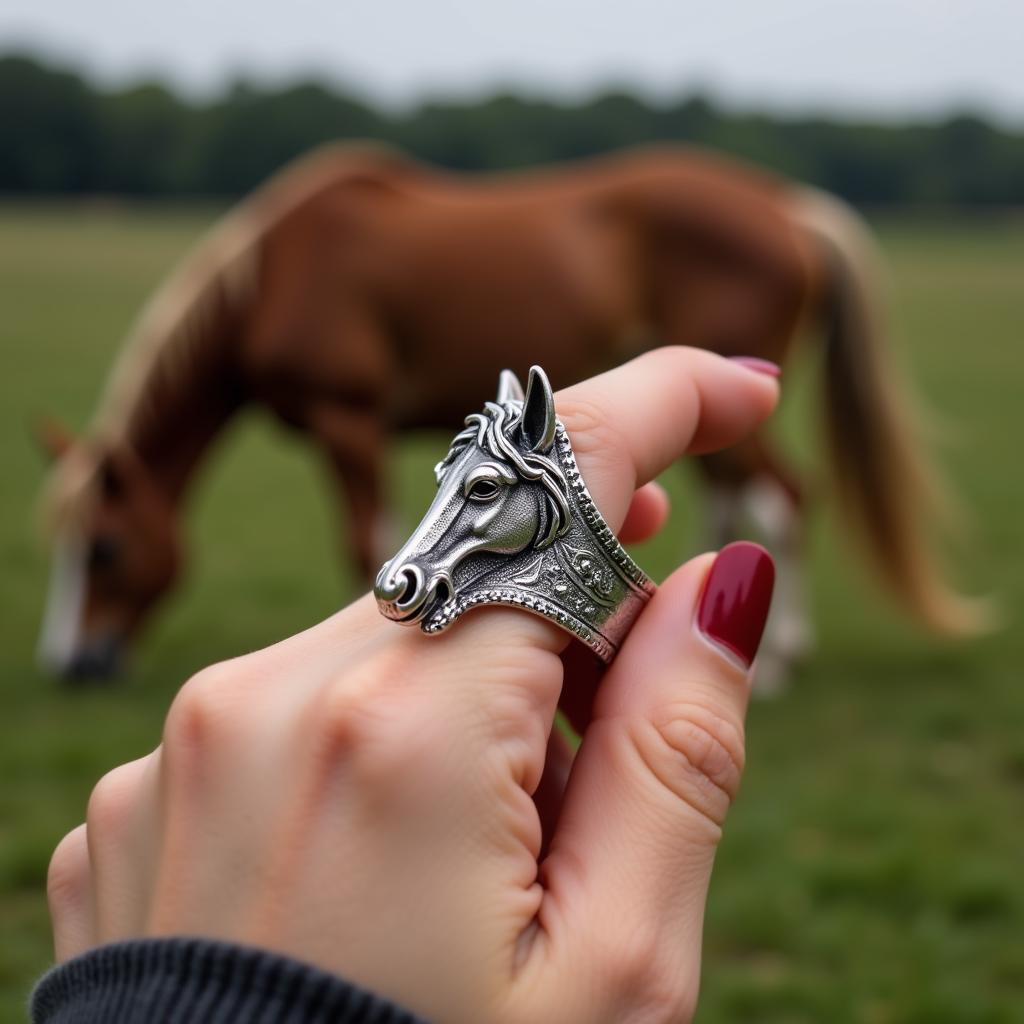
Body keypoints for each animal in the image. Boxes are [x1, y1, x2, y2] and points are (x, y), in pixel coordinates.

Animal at [36, 142, 983, 679]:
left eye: (106, 549)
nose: (66, 666)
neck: (274, 273)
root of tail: (791, 208)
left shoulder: (348, 419)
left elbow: (360, 541)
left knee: (783, 499)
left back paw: (776, 657)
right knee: (743, 499)